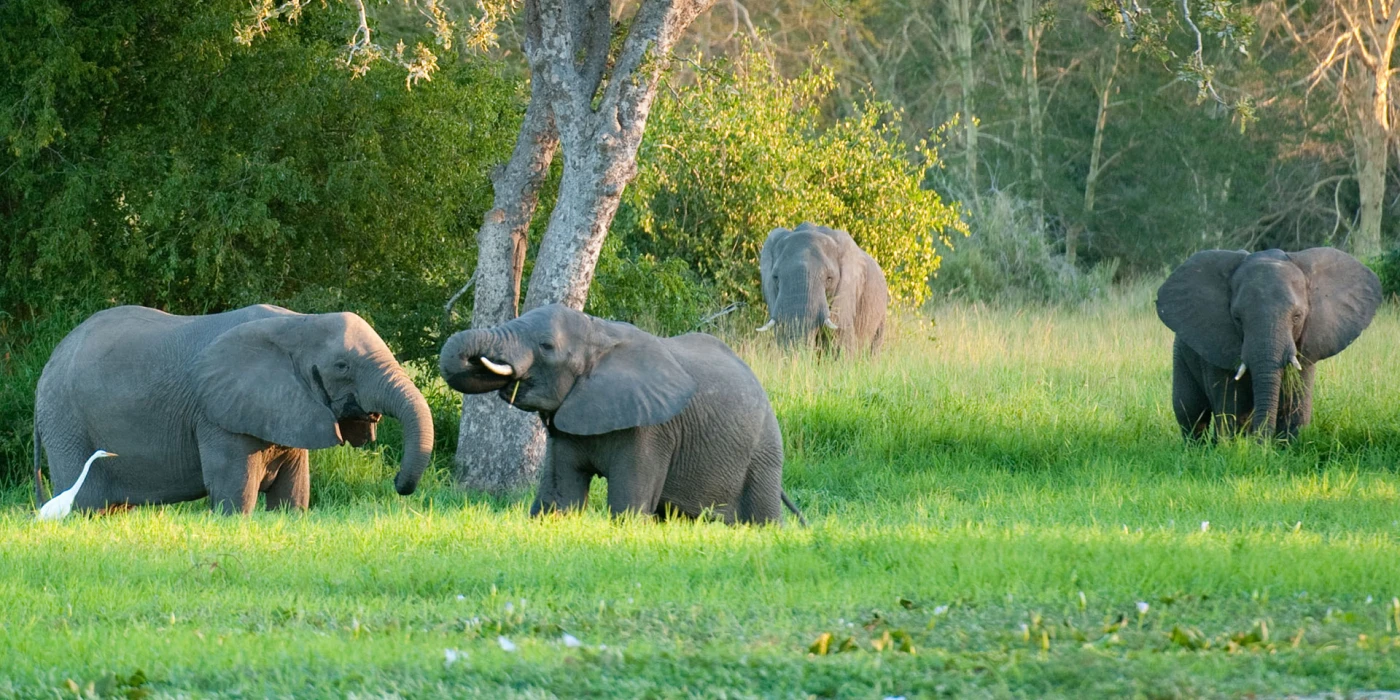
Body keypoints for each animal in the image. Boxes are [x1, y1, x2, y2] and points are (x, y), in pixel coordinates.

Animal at [36, 303, 431, 512]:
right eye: (342, 366)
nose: (398, 484)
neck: (299, 321)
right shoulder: (216, 416)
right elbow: (234, 491)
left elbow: (294, 493)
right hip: (65, 422)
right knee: (85, 502)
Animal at [436, 302, 812, 526]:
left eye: (546, 346)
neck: (598, 332)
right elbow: (559, 499)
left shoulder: (652, 428)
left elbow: (628, 507)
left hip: (764, 448)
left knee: (761, 514)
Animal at [1153, 249, 1383, 439]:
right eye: (1237, 319)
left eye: (1297, 317)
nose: (1263, 445)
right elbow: (1232, 406)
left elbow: (1296, 405)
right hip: (1181, 355)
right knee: (1190, 411)